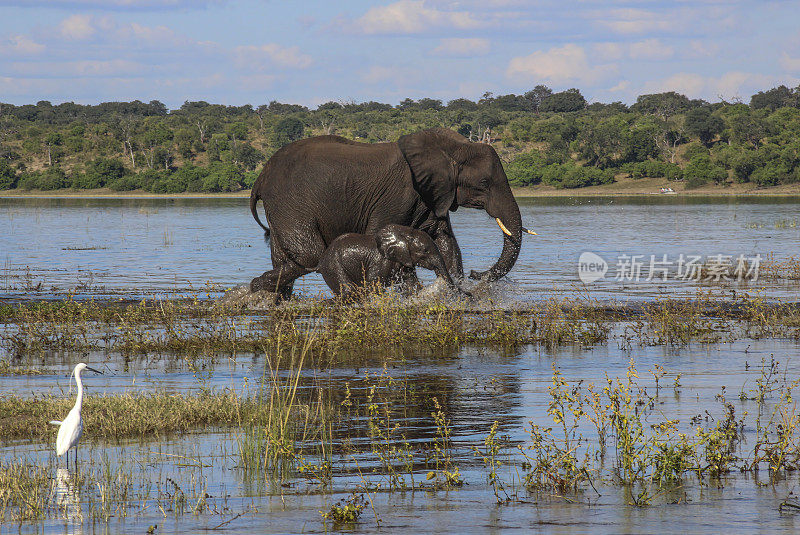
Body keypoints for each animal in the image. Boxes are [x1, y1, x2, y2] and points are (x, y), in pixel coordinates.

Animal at [318, 222, 466, 298]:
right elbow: (374, 285)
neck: (404, 234)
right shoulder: (380, 261)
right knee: (348, 291)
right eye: (425, 251)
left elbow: (412, 285)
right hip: (333, 266)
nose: (469, 295)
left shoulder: (404, 260)